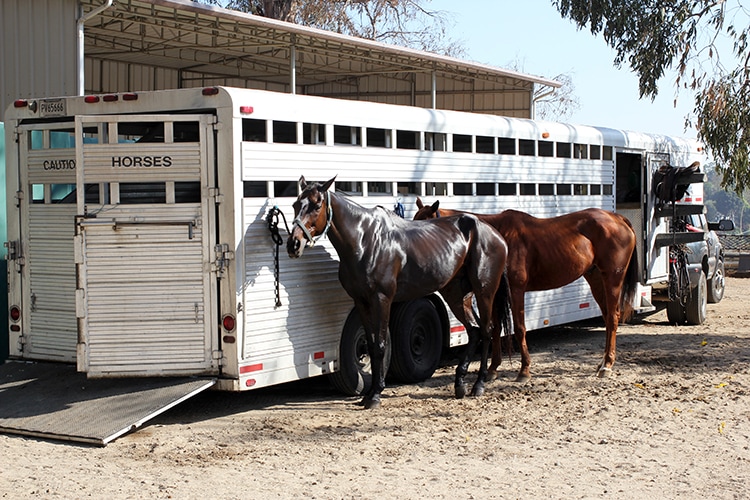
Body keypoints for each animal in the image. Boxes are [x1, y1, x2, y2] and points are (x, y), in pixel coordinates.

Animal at [284, 178, 516, 408]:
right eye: (295, 204)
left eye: (316, 205)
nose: (294, 244)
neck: (365, 240)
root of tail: (496, 234)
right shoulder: (361, 301)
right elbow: (370, 345)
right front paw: (368, 394)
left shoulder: (382, 299)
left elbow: (380, 345)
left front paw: (375, 395)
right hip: (457, 295)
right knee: (474, 330)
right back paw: (459, 383)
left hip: (484, 291)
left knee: (487, 330)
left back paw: (479, 384)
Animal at [414, 197, 636, 380]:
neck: (498, 237)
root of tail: (617, 218)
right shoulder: (496, 293)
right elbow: (496, 328)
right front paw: (493, 369)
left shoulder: (516, 290)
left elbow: (520, 328)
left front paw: (524, 370)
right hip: (595, 278)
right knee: (607, 317)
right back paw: (602, 363)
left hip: (612, 279)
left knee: (613, 317)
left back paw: (607, 365)